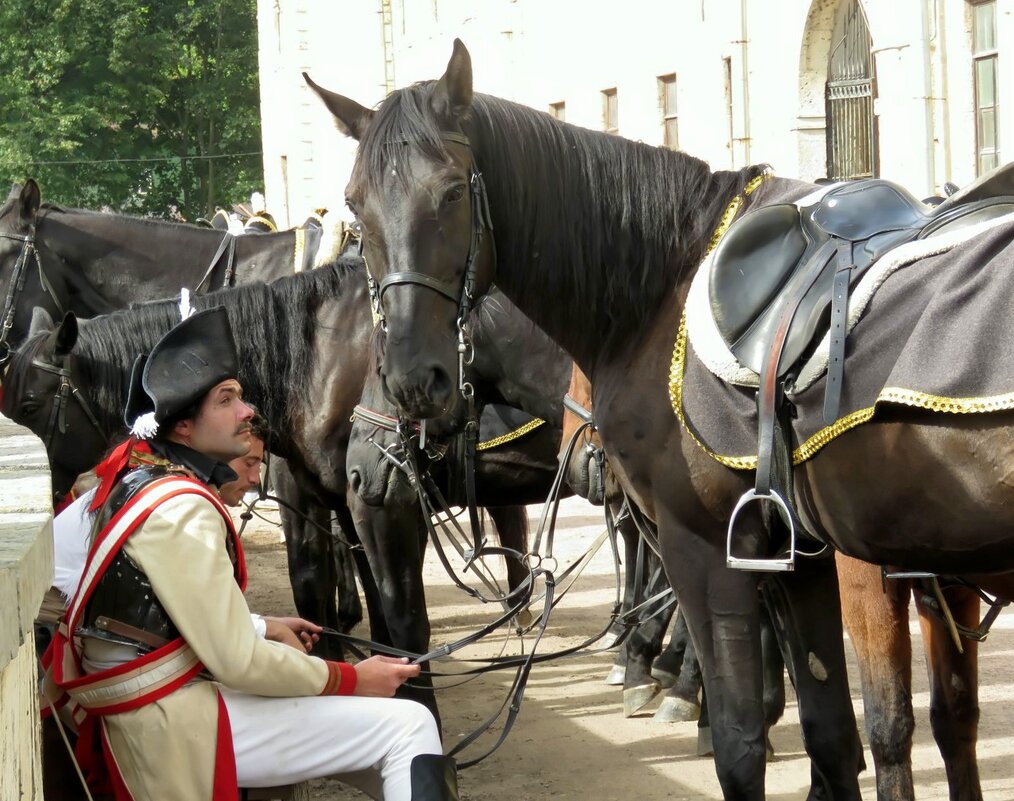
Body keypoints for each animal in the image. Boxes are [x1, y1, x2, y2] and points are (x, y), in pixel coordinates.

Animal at [302, 40, 1014, 798]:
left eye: (452, 192)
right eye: (356, 209)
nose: (412, 381)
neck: (665, 285)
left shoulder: (708, 548)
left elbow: (743, 744)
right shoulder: (802, 561)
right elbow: (832, 737)